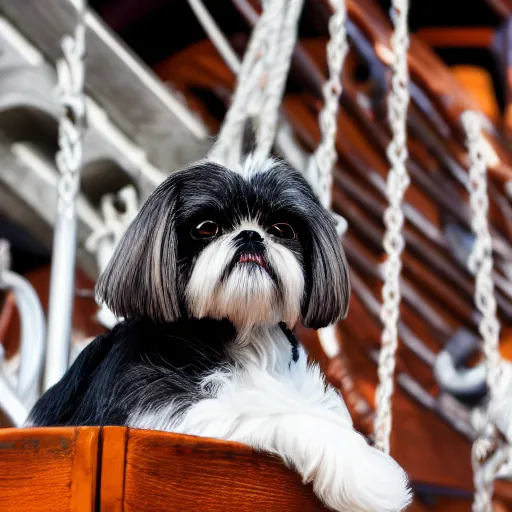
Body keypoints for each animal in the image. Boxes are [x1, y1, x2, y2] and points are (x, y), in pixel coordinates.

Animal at [28, 136, 412, 512]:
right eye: (206, 228)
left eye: (282, 229)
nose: (251, 235)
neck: (240, 329)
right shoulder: (154, 411)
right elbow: (272, 411)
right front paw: (370, 474)